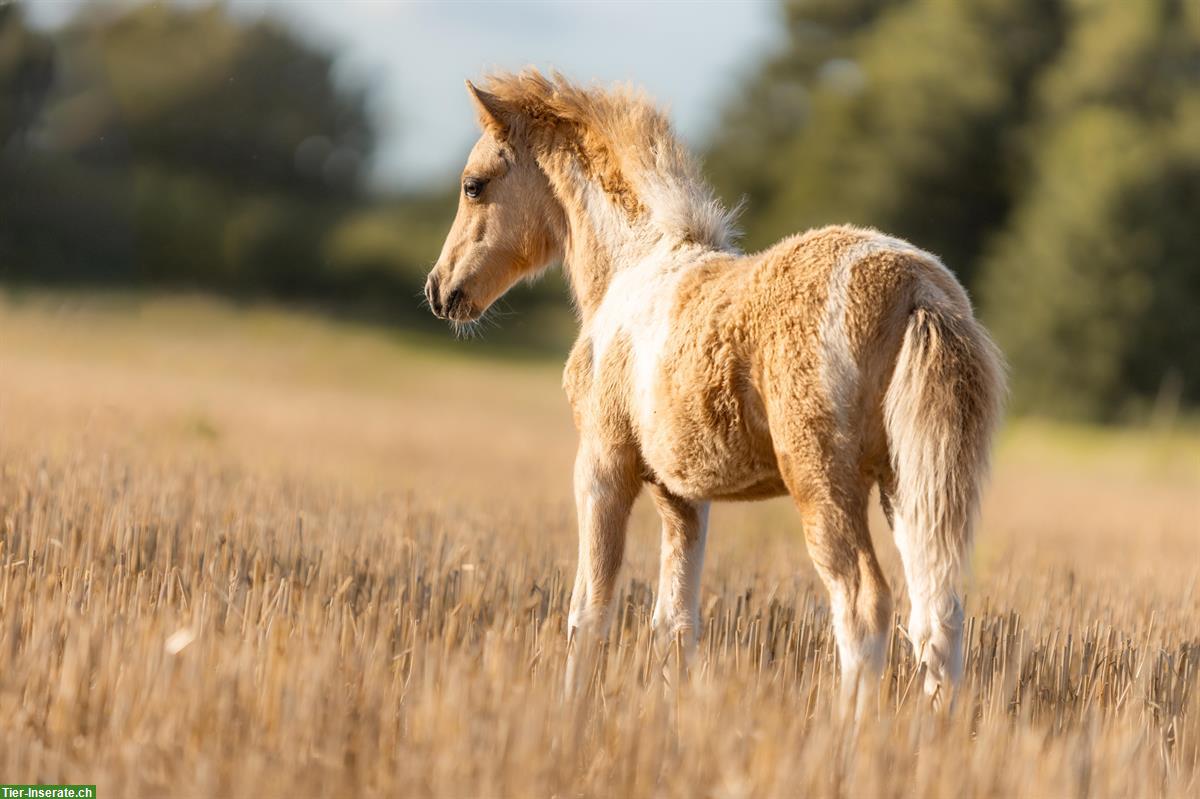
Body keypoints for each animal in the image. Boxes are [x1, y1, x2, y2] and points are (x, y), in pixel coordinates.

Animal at [422, 71, 1003, 710]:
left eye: (473, 186)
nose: (440, 290)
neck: (632, 266)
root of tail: (918, 289)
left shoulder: (602, 463)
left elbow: (589, 610)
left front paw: (568, 711)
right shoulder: (682, 494)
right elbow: (675, 620)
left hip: (824, 481)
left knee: (864, 606)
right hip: (909, 484)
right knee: (938, 616)